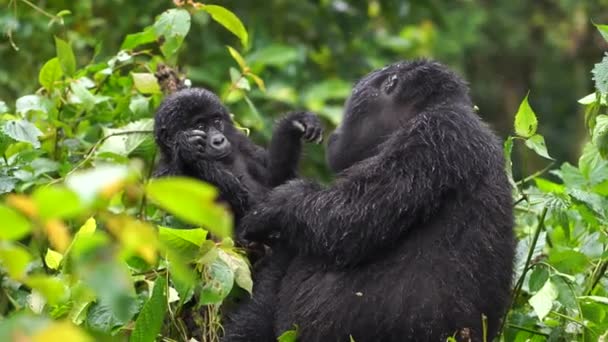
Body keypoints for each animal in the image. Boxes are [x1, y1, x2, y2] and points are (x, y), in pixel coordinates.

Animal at [153, 87, 324, 222]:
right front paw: (187, 148)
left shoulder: (241, 141)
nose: (219, 140)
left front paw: (295, 122)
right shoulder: (163, 175)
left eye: (216, 121)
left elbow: (276, 179)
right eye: (200, 126)